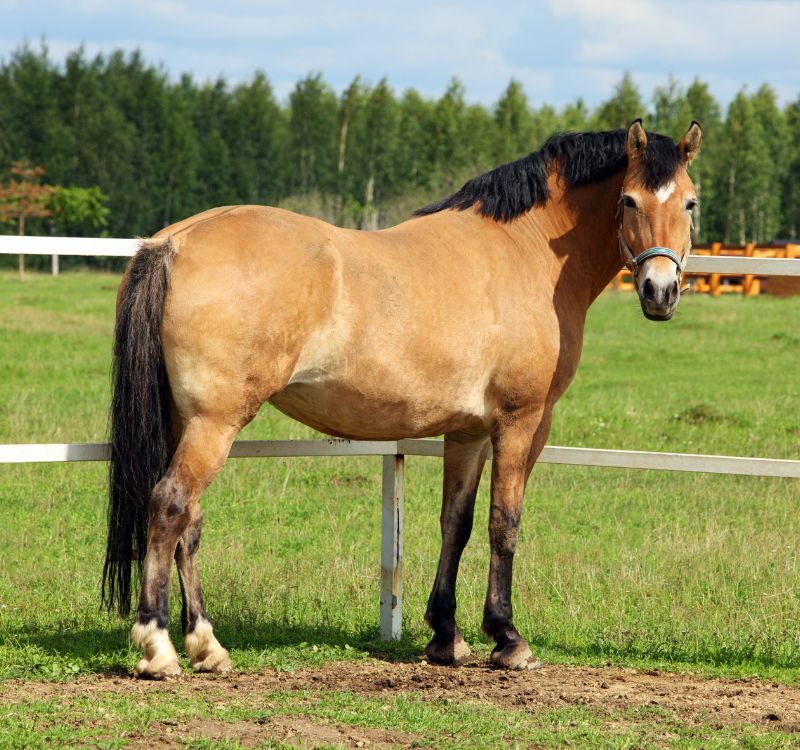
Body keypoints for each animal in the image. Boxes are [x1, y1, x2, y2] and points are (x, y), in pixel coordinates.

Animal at [104, 120, 700, 680]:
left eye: (690, 202)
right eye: (629, 200)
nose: (660, 292)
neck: (524, 250)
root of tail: (174, 243)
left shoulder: (467, 431)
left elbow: (455, 523)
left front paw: (446, 635)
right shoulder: (522, 422)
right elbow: (503, 523)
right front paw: (507, 637)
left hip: (187, 422)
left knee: (190, 523)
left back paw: (207, 646)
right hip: (215, 424)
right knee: (171, 505)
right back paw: (159, 647)